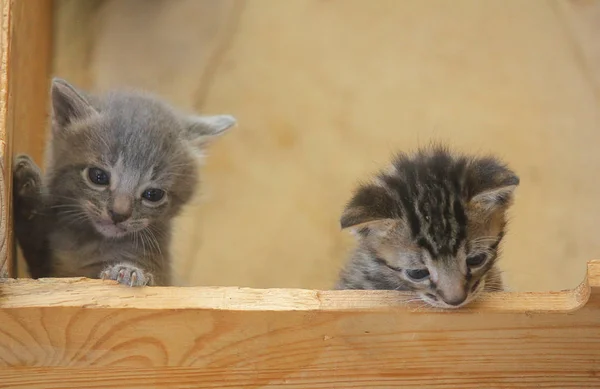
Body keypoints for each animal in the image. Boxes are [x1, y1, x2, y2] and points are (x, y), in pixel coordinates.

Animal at [12, 78, 236, 284]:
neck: (90, 242)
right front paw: (28, 187)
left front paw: (128, 271)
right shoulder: (45, 267)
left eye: (153, 194)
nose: (118, 214)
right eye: (98, 176)